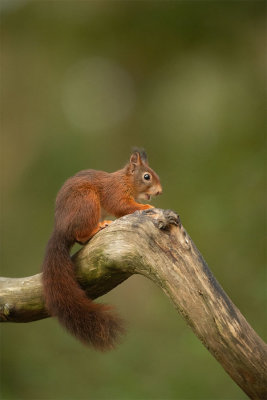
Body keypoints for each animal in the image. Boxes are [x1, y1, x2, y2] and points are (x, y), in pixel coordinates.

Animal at [43, 149, 162, 350]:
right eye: (147, 177)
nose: (160, 191)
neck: (125, 180)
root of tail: (61, 229)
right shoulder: (115, 193)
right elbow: (122, 206)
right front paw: (146, 206)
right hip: (87, 203)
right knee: (81, 235)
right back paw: (98, 227)